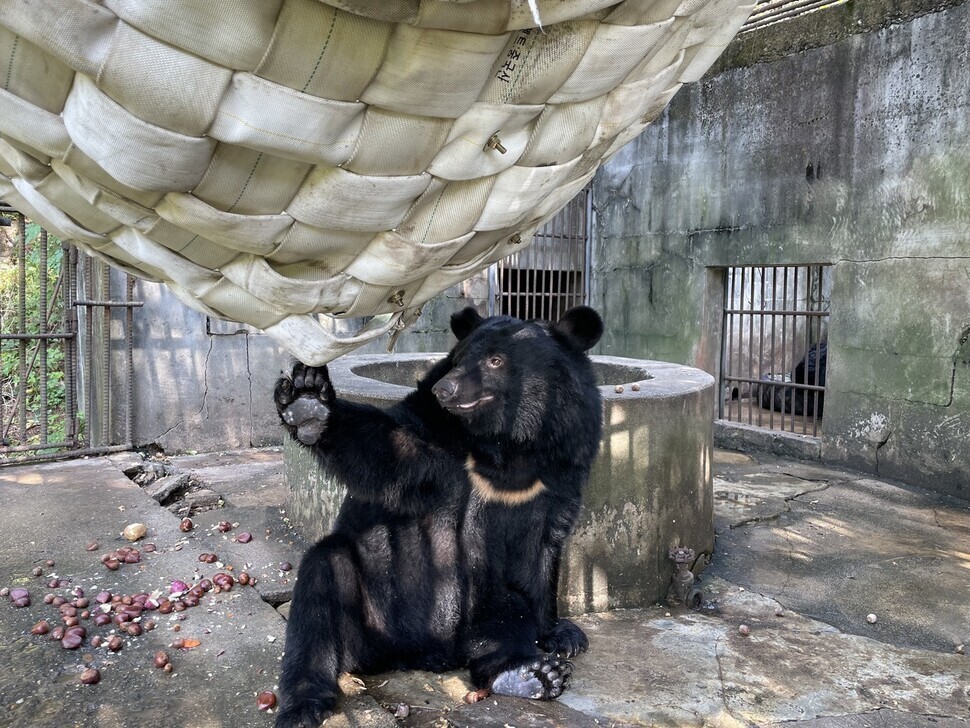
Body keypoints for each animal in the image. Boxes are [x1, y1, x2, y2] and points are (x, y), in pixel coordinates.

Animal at [272, 306, 600, 728]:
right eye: (459, 359)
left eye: (495, 361)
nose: (446, 389)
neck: (509, 445)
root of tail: (421, 655)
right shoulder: (434, 433)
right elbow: (386, 448)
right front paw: (308, 401)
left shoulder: (563, 467)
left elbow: (544, 552)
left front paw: (563, 635)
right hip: (364, 602)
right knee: (319, 589)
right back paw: (302, 705)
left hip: (482, 602)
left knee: (505, 612)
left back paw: (532, 674)